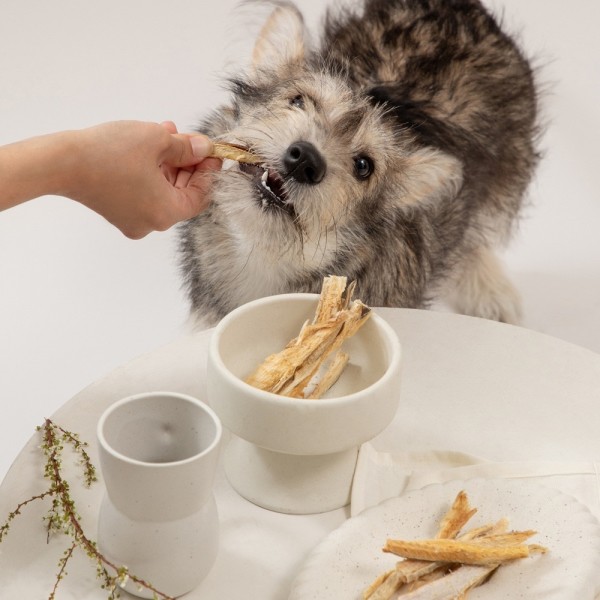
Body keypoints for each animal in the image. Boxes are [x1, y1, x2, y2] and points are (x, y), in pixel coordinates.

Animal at [179, 0, 540, 326]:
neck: (262, 257)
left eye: (364, 166)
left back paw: (492, 294)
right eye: (298, 101)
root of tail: (458, 8)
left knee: (474, 238)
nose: (305, 159)